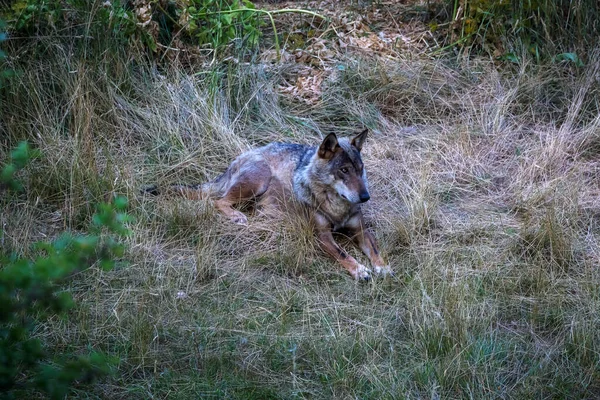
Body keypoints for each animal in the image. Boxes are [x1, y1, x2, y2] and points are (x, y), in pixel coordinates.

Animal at [149, 130, 394, 280]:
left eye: (360, 169)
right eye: (344, 170)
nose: (365, 197)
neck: (335, 206)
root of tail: (238, 158)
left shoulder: (360, 229)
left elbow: (374, 250)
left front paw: (383, 267)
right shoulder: (321, 236)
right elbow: (342, 254)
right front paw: (359, 270)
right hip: (258, 181)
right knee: (218, 201)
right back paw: (236, 216)